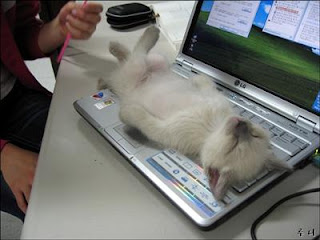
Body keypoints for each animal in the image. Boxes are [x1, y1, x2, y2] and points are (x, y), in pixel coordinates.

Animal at [99, 26, 292, 200]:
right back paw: (137, 38)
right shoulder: (213, 96)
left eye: (234, 145)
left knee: (134, 58)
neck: (213, 128)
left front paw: (127, 111)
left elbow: (141, 119)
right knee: (136, 53)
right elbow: (206, 81)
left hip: (134, 72)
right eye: (255, 134)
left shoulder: (166, 130)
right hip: (156, 62)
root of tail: (119, 83)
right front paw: (195, 77)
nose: (242, 123)